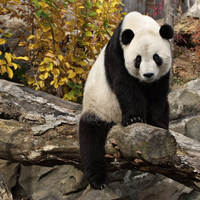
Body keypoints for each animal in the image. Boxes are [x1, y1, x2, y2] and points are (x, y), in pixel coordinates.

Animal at [78, 11, 173, 191]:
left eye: (156, 57)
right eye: (138, 59)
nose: (148, 75)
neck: (138, 23)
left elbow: (159, 93)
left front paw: (157, 123)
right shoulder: (117, 54)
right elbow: (125, 86)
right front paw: (134, 118)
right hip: (98, 108)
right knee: (90, 140)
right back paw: (98, 180)